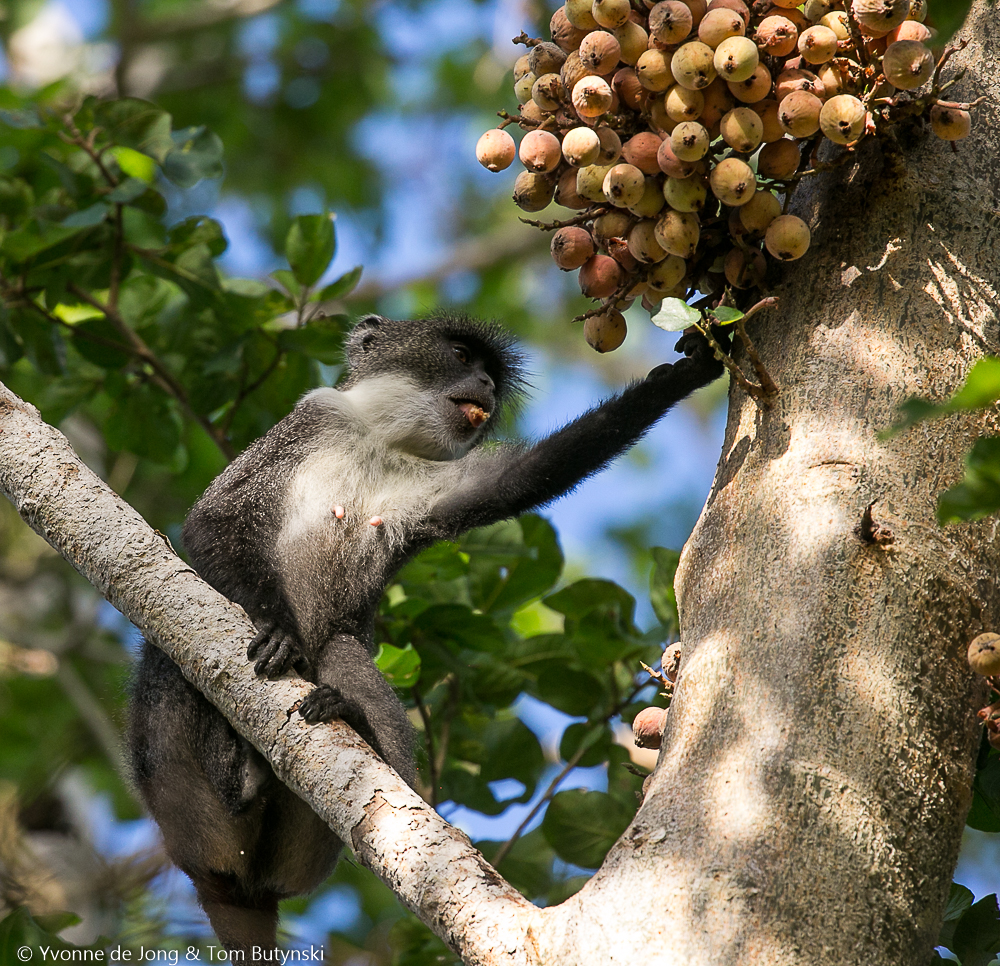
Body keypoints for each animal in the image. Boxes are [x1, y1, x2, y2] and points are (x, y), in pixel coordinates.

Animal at [128, 313, 724, 954]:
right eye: (461, 355)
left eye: (491, 374)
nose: (485, 384)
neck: (380, 440)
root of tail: (227, 886)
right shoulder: (310, 421)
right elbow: (214, 517)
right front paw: (276, 628)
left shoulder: (432, 483)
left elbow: (512, 481)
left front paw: (684, 374)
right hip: (170, 770)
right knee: (175, 655)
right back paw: (238, 774)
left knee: (345, 658)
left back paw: (342, 730)